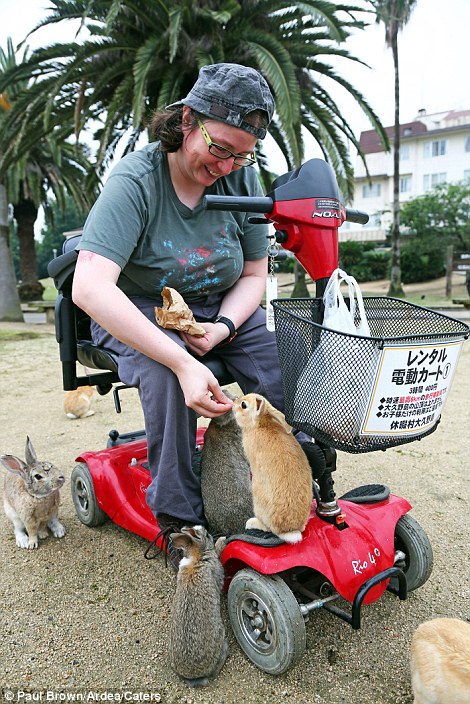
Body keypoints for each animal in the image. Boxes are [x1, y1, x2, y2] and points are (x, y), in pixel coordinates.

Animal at [231, 394, 312, 540]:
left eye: (244, 405)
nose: (233, 404)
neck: (260, 424)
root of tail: (290, 531)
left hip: (257, 501)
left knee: (267, 527)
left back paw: (251, 523)